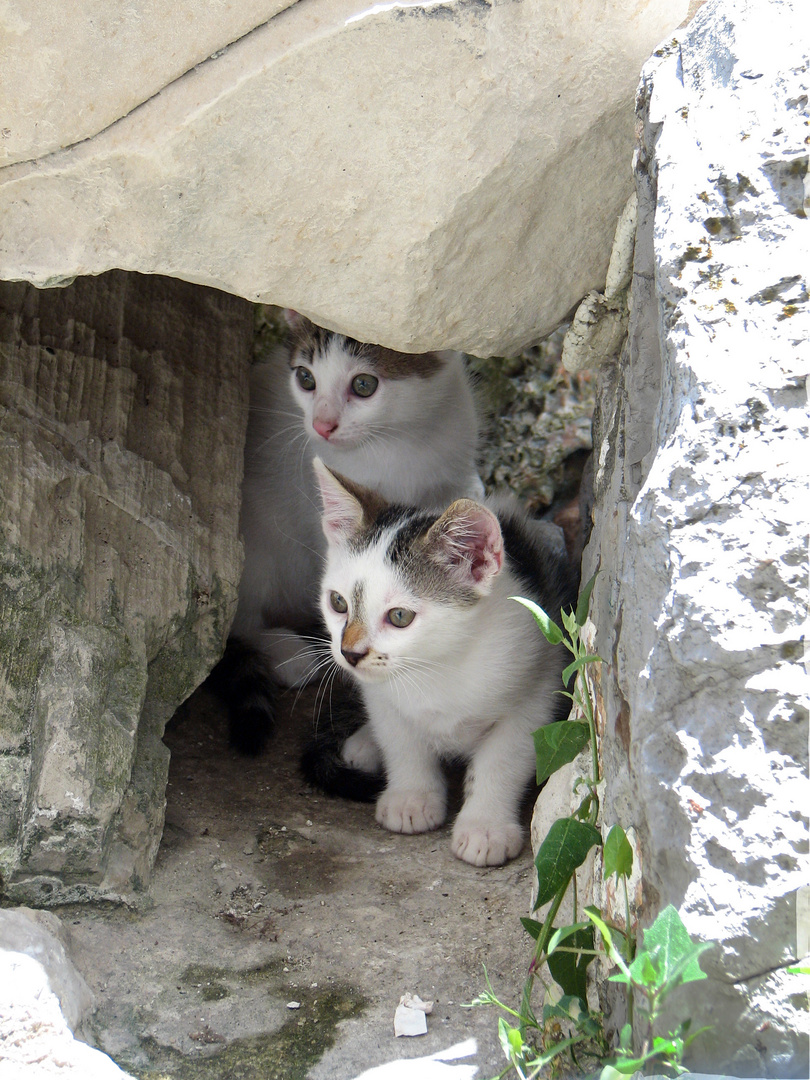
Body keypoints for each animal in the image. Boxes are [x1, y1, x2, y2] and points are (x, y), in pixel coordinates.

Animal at [220, 311, 481, 751]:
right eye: (306, 379)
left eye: (363, 385)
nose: (321, 425)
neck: (401, 443)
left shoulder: (451, 468)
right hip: (255, 549)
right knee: (238, 623)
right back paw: (288, 655)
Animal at [313, 455, 578, 868]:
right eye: (338, 602)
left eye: (400, 617)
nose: (351, 653)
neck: (438, 665)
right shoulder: (381, 696)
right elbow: (401, 740)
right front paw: (411, 798)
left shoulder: (538, 685)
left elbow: (503, 759)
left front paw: (485, 827)